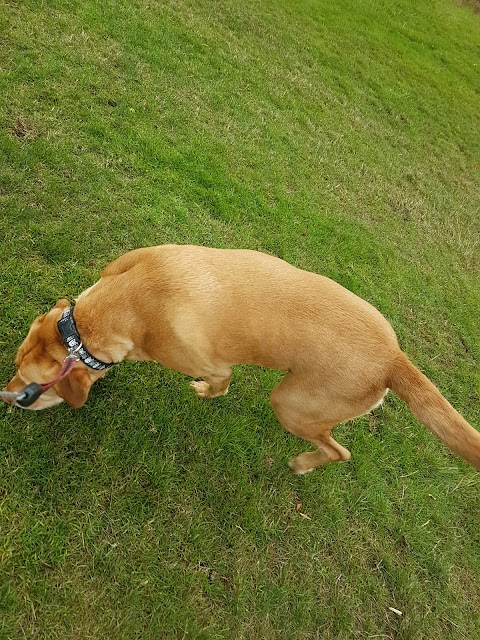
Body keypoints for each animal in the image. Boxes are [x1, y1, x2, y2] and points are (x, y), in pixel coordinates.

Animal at [4, 245, 480, 476]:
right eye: (15, 364)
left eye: (32, 389)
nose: (5, 396)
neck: (127, 302)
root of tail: (394, 358)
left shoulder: (213, 365)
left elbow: (219, 384)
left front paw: (204, 394)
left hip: (292, 404)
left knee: (339, 451)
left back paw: (303, 465)